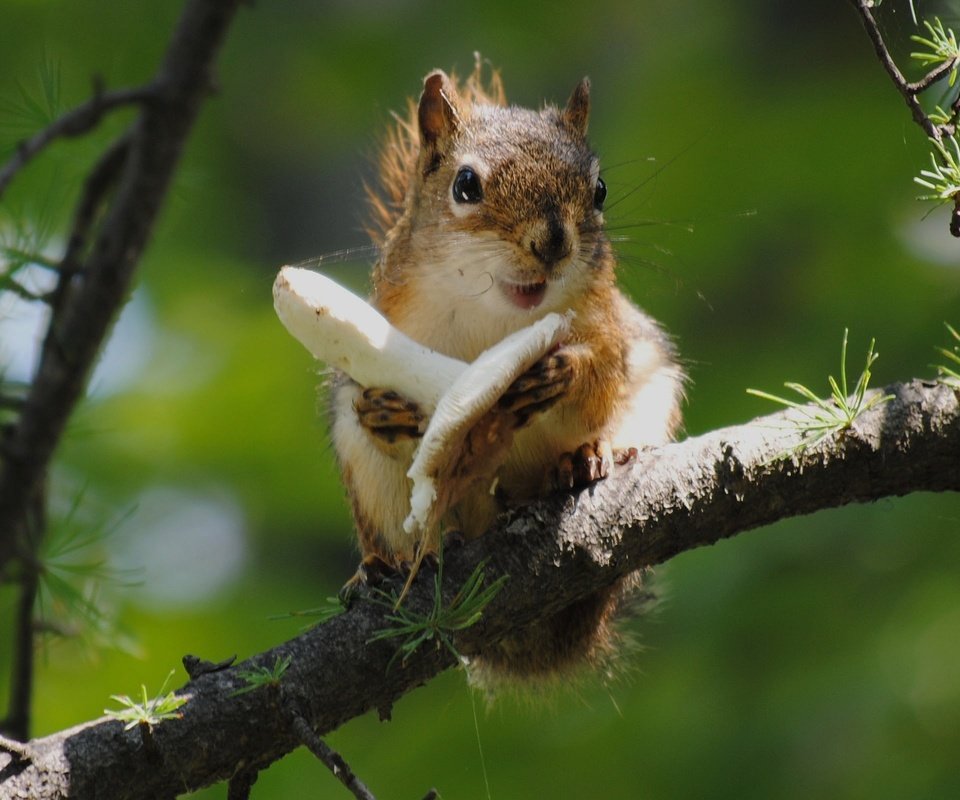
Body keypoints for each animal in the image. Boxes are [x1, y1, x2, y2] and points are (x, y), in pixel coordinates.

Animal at [330, 57, 684, 680]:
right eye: (465, 185)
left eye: (599, 190)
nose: (553, 243)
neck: (498, 316)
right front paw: (384, 410)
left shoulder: (610, 325)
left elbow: (603, 372)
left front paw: (567, 371)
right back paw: (384, 564)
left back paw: (585, 459)